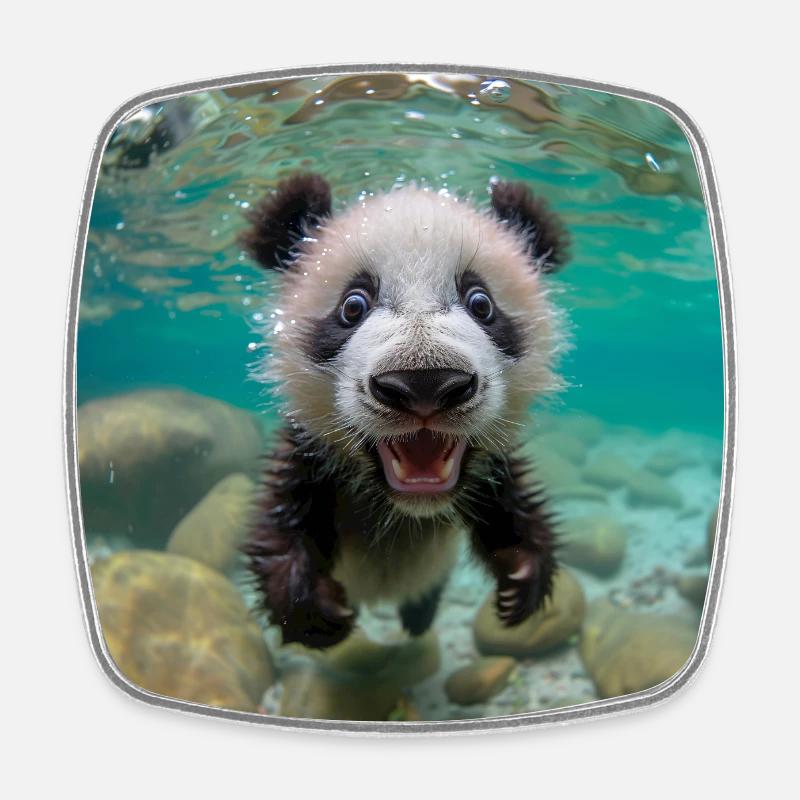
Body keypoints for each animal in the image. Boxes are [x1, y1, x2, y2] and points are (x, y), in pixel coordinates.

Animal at [240, 172, 569, 649]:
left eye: (481, 303)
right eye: (352, 306)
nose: (424, 383)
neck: (406, 508)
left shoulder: (494, 465)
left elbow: (517, 509)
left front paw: (521, 579)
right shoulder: (308, 452)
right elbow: (279, 527)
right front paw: (312, 610)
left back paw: (418, 615)